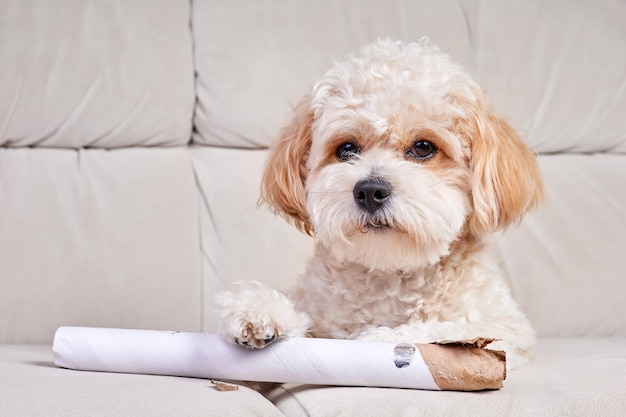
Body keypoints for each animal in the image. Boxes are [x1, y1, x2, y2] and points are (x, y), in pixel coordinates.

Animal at [216, 39, 540, 370]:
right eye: (346, 148)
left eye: (423, 147)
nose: (370, 191)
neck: (389, 273)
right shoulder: (318, 306)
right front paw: (259, 308)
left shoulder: (505, 328)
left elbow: (442, 327)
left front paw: (377, 338)